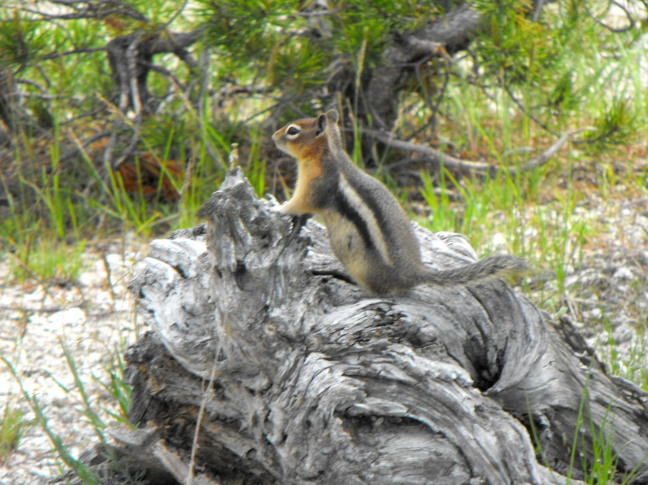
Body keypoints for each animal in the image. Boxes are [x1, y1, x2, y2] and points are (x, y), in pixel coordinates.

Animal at [270, 109, 528, 294]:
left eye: (292, 130)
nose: (273, 136)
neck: (327, 153)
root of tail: (413, 274)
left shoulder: (313, 188)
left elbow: (296, 204)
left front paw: (275, 206)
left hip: (363, 266)